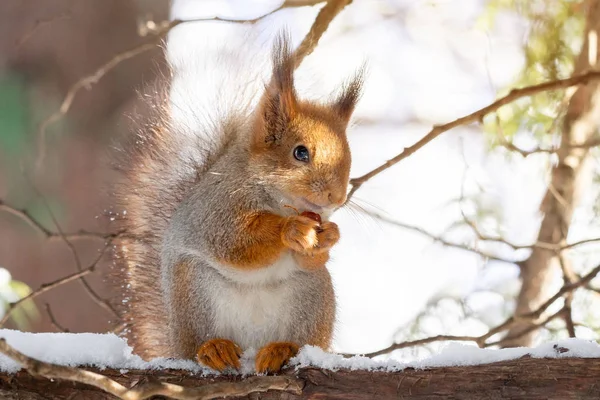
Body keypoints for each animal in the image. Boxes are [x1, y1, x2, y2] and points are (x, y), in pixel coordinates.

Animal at [115, 32, 364, 374]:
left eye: (350, 156)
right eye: (300, 153)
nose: (336, 197)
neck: (278, 201)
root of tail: (250, 344)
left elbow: (311, 257)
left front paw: (330, 236)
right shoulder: (217, 209)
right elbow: (235, 243)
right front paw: (290, 230)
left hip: (313, 295)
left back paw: (282, 350)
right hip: (193, 291)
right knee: (197, 344)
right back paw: (213, 349)